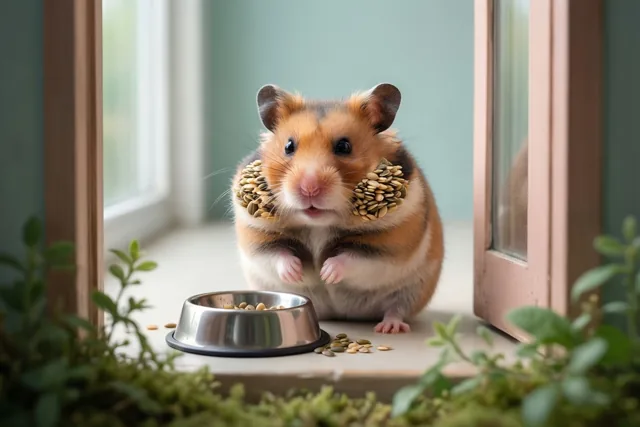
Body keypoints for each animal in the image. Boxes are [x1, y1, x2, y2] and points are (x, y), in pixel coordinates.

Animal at [231, 83, 444, 333]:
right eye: (289, 146)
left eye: (344, 146)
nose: (309, 188)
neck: (318, 224)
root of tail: (344, 314)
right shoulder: (257, 237)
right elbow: (277, 255)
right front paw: (297, 272)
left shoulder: (387, 246)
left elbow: (351, 258)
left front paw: (326, 273)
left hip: (413, 290)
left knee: (396, 308)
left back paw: (388, 327)